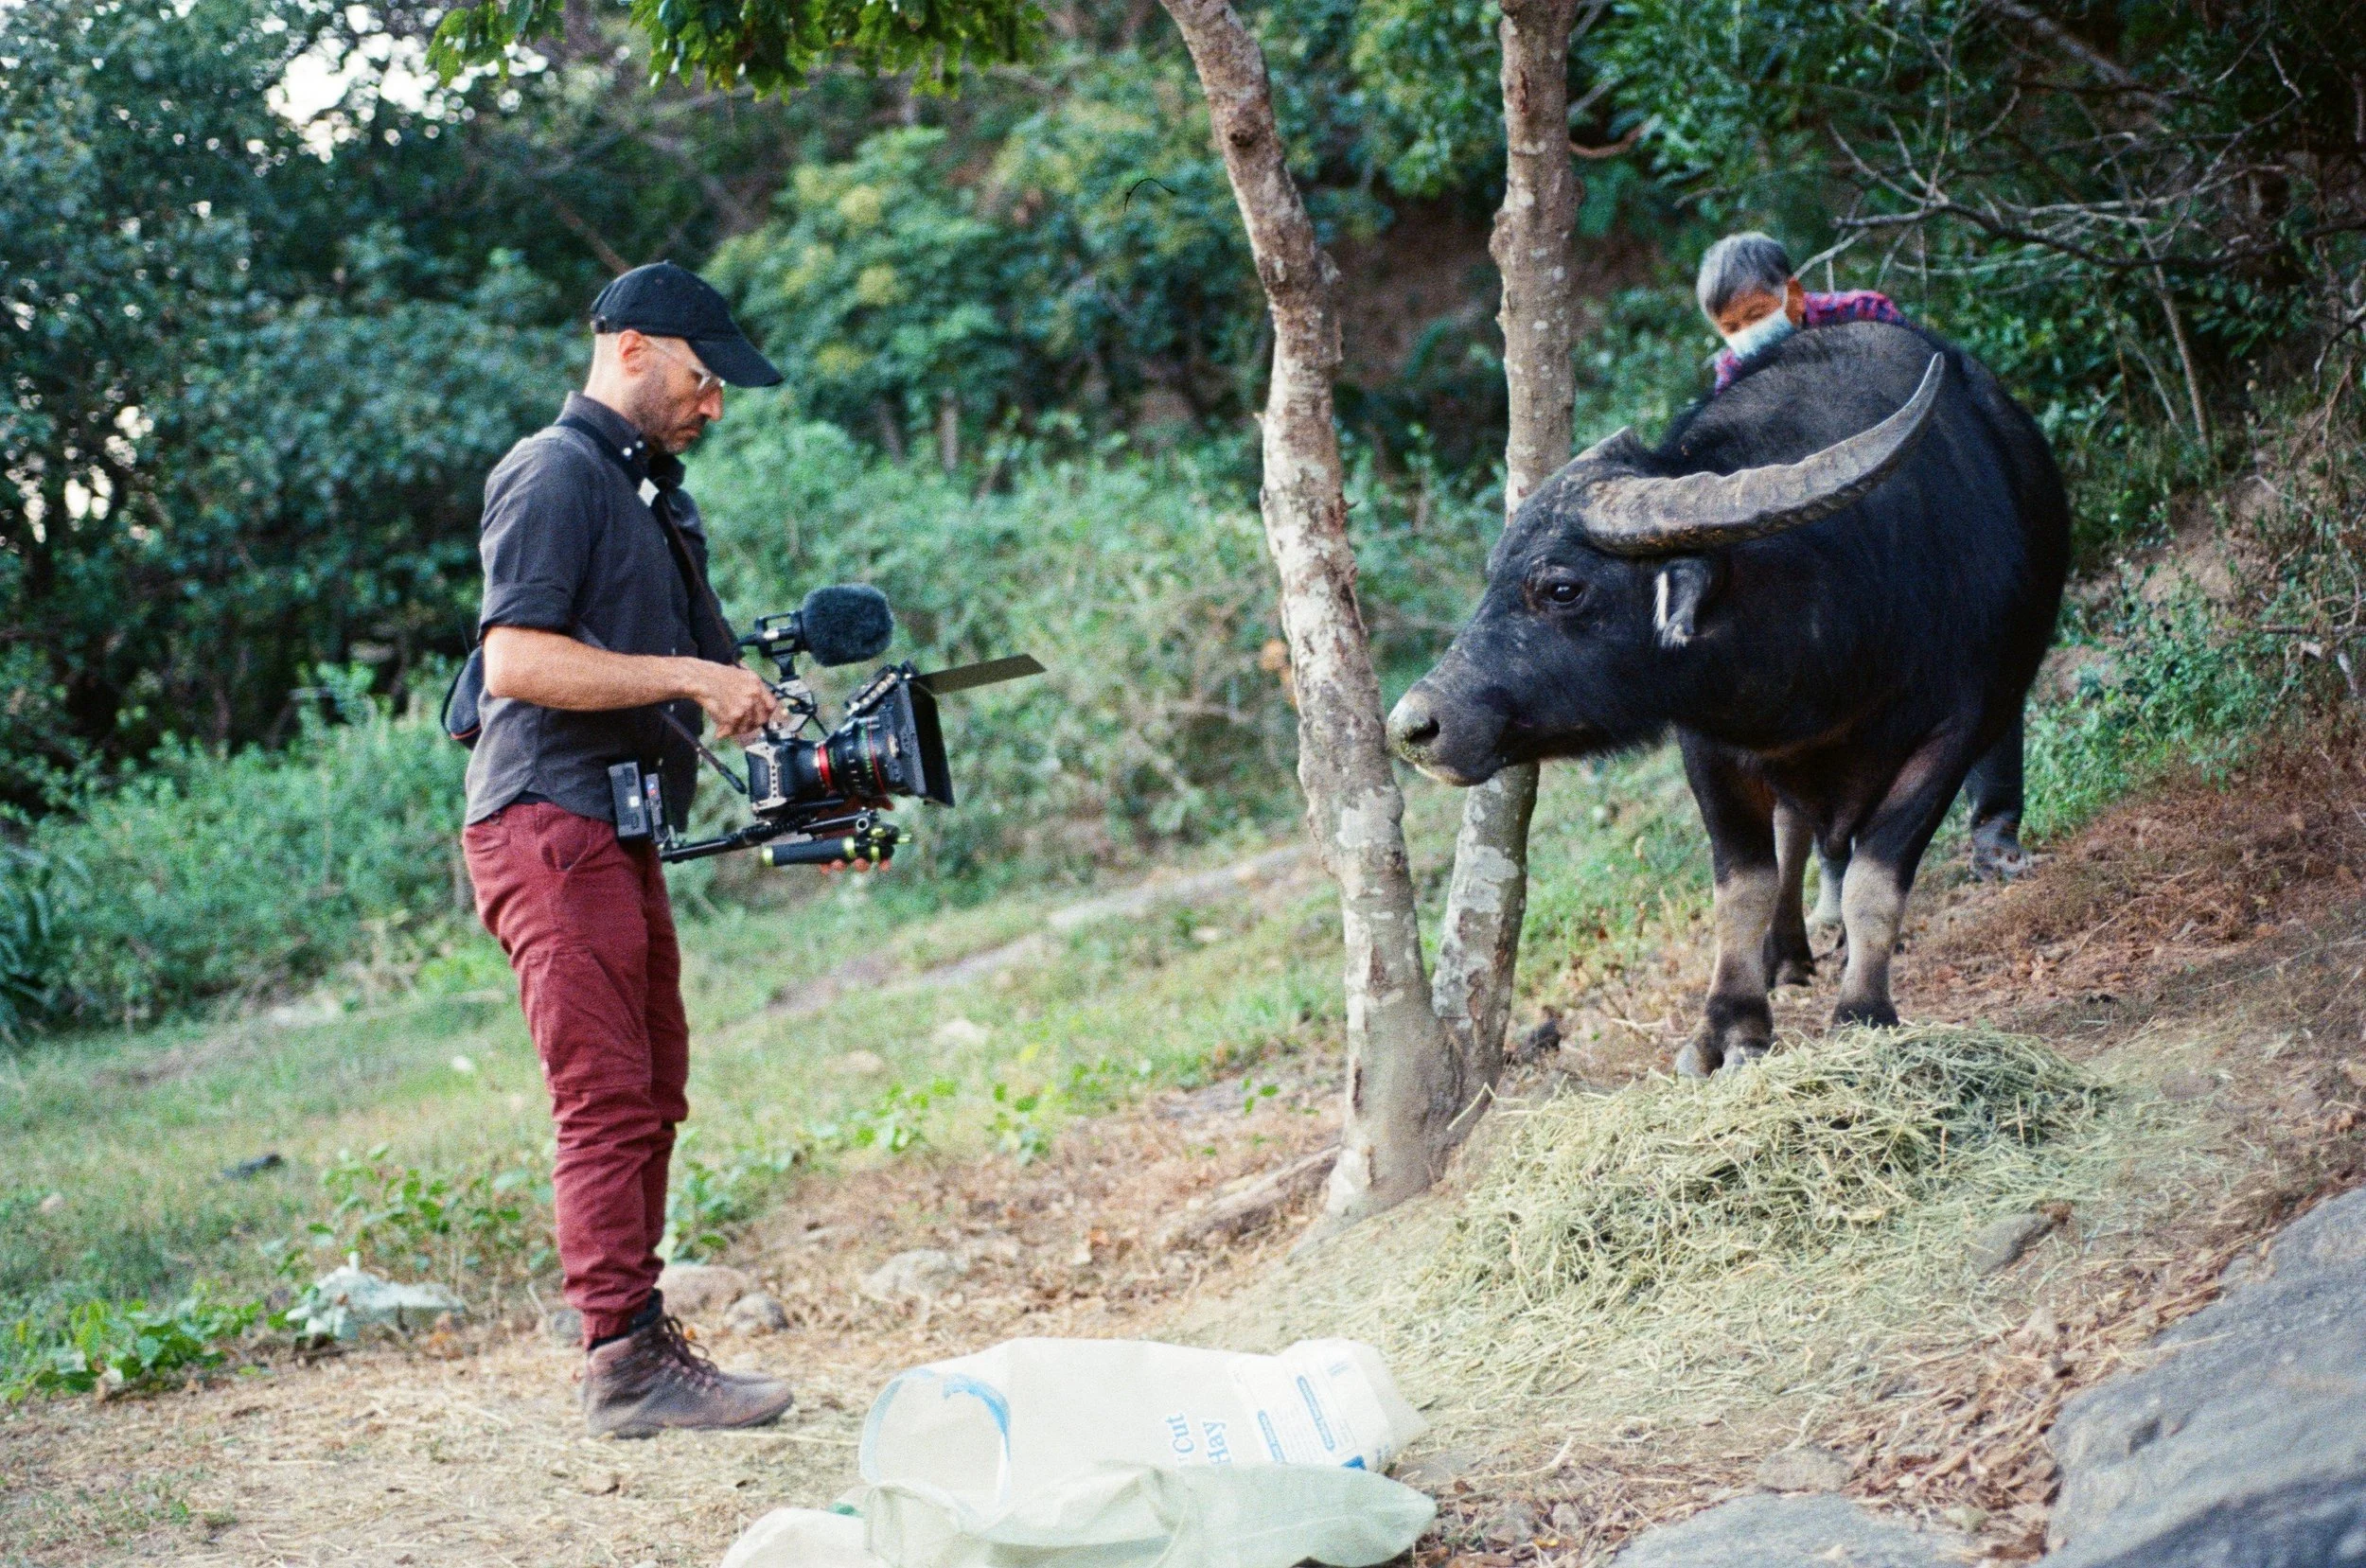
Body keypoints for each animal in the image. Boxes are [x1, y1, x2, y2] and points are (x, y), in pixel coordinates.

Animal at [1389, 322, 2068, 1075]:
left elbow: (1875, 877)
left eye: (1562, 587)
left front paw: (1863, 1011)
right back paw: (1785, 952)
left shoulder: (1952, 731)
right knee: (1793, 837)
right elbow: (1743, 884)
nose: (1415, 725)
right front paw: (1730, 1028)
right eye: (1492, 574)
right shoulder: (1710, 744)